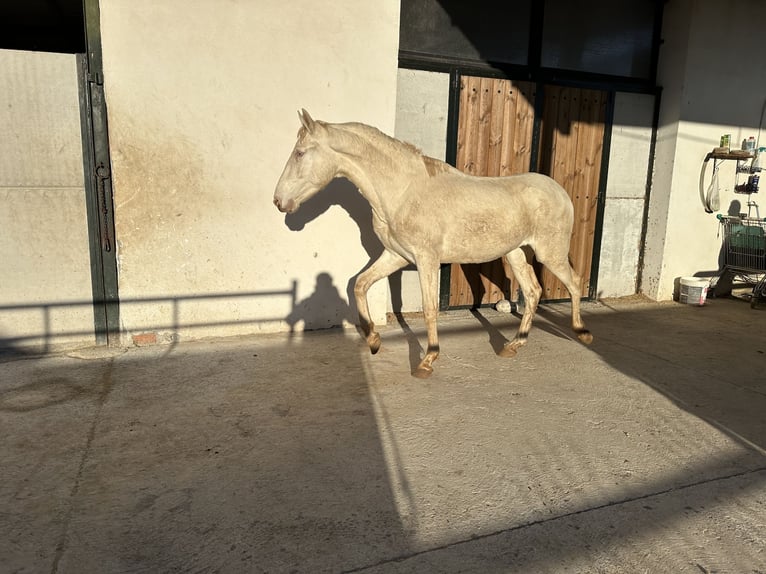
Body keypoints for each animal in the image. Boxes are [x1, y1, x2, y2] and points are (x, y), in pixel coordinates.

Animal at [276, 110, 592, 380]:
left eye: (300, 153)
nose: (279, 201)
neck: (403, 191)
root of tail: (560, 191)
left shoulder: (426, 259)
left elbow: (429, 308)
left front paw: (427, 361)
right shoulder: (396, 256)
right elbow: (359, 285)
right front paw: (374, 341)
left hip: (549, 254)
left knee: (574, 283)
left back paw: (582, 332)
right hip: (516, 254)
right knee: (534, 291)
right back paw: (514, 345)